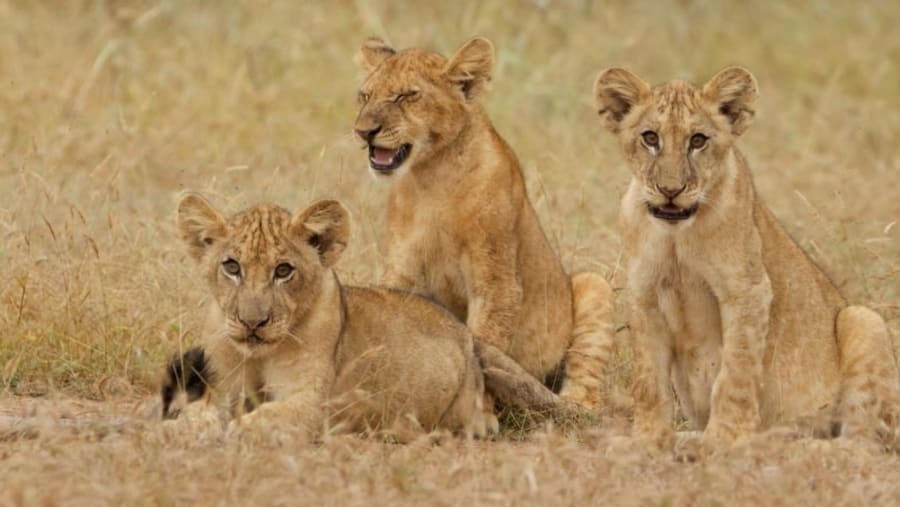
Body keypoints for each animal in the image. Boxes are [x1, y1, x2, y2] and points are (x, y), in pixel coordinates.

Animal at [170, 194, 495, 439]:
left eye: (283, 270)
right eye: (232, 267)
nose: (252, 323)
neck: (260, 356)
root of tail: (465, 333)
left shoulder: (317, 404)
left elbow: (272, 415)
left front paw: (238, 429)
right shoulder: (223, 389)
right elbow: (199, 411)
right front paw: (180, 427)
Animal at [352, 36, 615, 410]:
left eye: (406, 96)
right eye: (365, 96)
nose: (363, 132)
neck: (431, 177)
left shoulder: (495, 281)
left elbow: (482, 342)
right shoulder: (402, 271)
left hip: (594, 285)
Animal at [593, 66, 900, 452]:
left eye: (698, 140)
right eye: (650, 138)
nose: (670, 191)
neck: (676, 236)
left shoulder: (747, 291)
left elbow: (735, 374)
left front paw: (724, 440)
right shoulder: (643, 296)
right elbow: (648, 380)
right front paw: (649, 440)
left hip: (862, 319)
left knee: (863, 442)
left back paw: (787, 442)